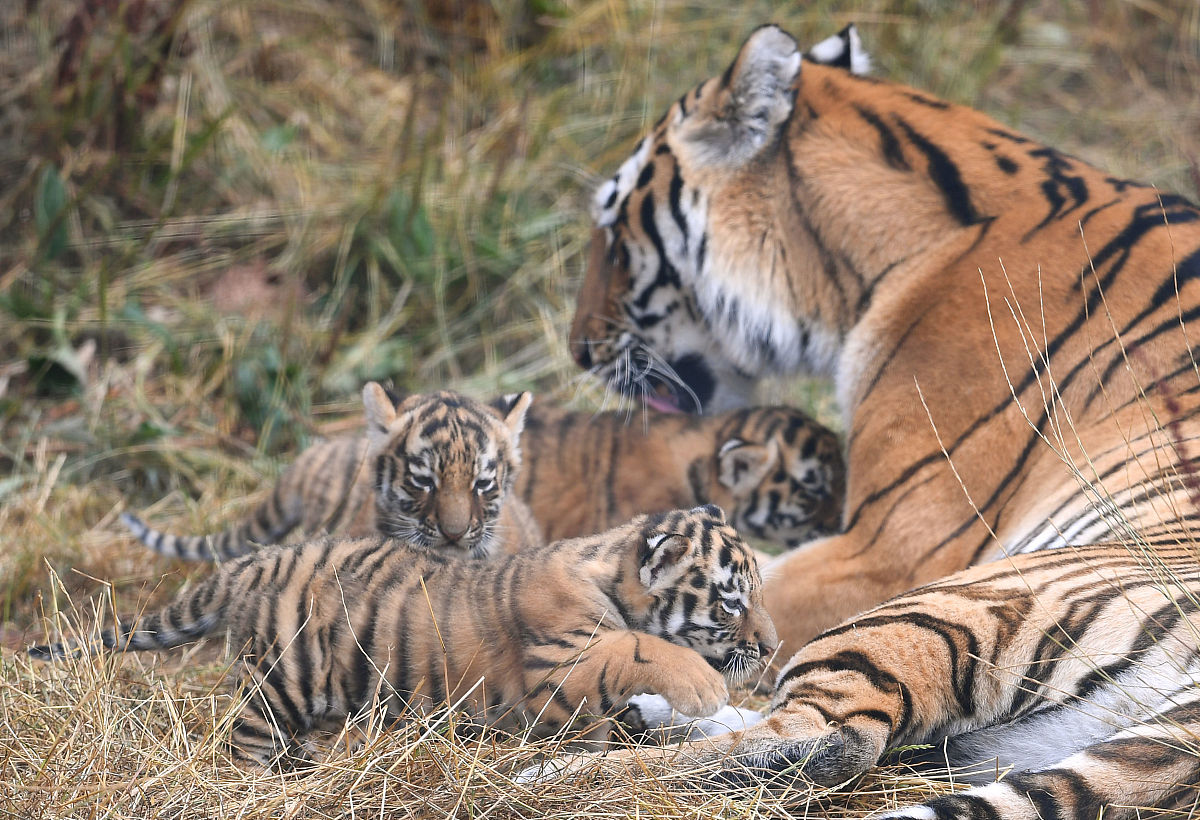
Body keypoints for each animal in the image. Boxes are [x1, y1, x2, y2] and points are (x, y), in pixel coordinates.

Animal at [29, 505, 777, 768]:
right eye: (730, 602)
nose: (772, 646)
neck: (611, 573)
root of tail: (249, 564)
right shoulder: (556, 669)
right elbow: (639, 647)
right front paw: (704, 688)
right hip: (281, 678)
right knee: (244, 741)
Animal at [563, 21, 1200, 819]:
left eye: (615, 234)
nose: (577, 350)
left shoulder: (880, 547)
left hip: (952, 602)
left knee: (821, 736)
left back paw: (557, 774)